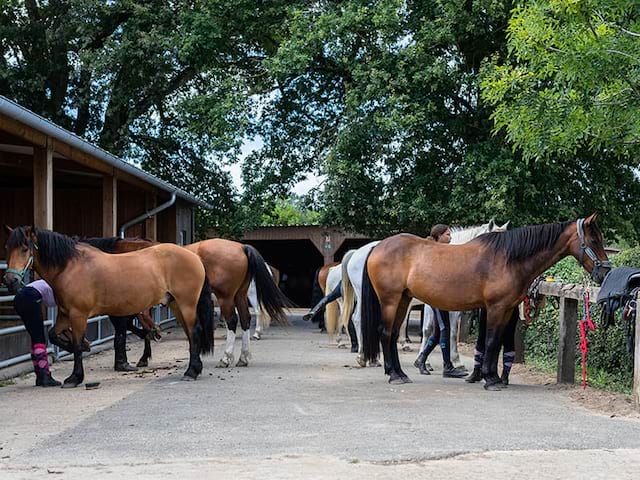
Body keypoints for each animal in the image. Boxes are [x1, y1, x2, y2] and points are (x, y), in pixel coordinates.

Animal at [3, 227, 215, 388]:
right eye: (8, 247)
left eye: (25, 249)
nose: (10, 280)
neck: (71, 267)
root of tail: (194, 256)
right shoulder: (65, 314)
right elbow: (53, 335)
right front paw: (76, 349)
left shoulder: (78, 315)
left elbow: (78, 345)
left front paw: (75, 377)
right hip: (176, 304)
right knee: (190, 334)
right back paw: (193, 369)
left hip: (186, 304)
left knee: (194, 332)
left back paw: (191, 371)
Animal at [340, 221, 510, 368]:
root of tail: (359, 252)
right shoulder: (431, 305)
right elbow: (428, 329)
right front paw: (424, 362)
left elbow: (452, 332)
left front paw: (456, 361)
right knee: (358, 319)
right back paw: (363, 356)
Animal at [362, 216, 612, 388]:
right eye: (593, 240)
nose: (605, 273)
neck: (508, 258)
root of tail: (377, 246)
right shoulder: (495, 307)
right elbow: (491, 340)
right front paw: (490, 379)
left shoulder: (506, 309)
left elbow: (497, 340)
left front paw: (492, 376)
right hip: (390, 300)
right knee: (386, 333)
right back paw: (394, 375)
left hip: (403, 300)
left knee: (394, 334)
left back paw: (400, 373)